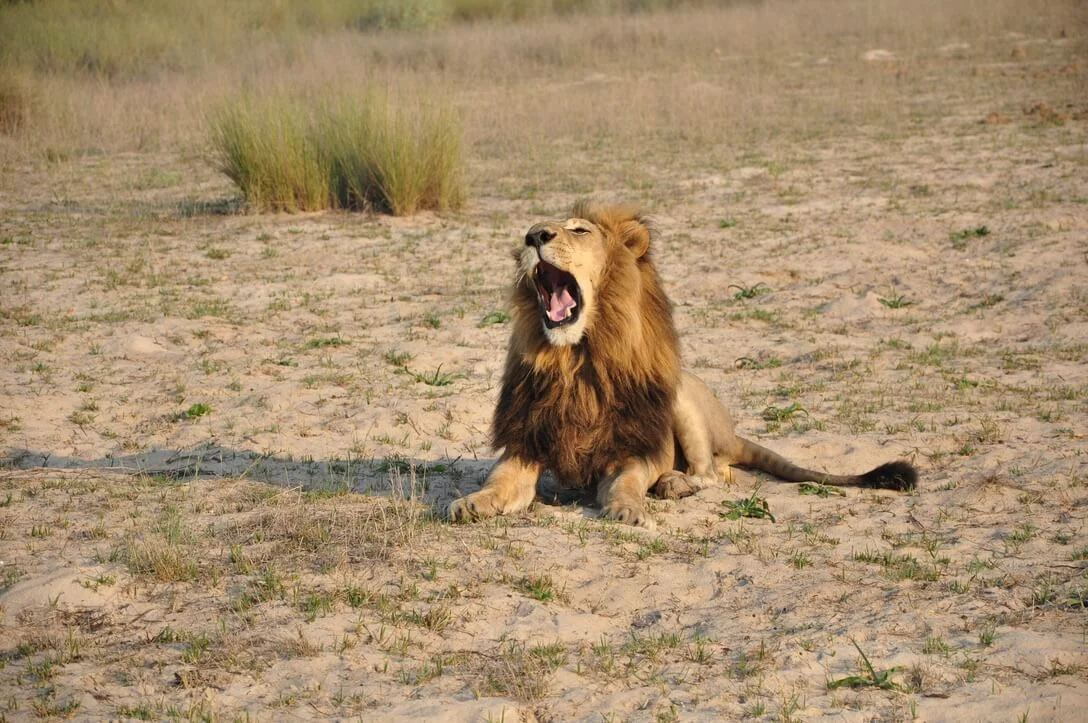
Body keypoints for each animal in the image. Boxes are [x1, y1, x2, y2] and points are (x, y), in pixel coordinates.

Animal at [448, 202, 917, 529]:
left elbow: (626, 484)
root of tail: (732, 430)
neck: (576, 360)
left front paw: (628, 508)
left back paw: (676, 482)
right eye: (530, 233)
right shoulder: (526, 443)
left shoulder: (637, 448)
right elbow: (498, 481)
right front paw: (472, 502)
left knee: (716, 472)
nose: (533, 236)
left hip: (682, 401)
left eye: (579, 231)